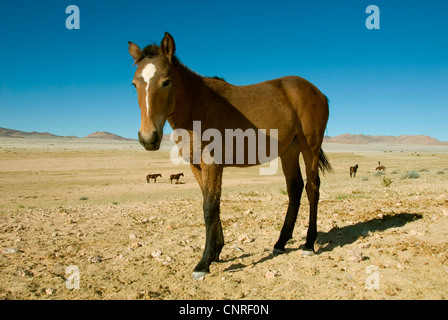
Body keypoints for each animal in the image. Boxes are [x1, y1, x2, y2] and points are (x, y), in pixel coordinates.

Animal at [128, 31, 330, 278]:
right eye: (135, 84)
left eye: (166, 81)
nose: (148, 138)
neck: (196, 107)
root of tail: (317, 92)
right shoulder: (197, 166)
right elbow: (212, 205)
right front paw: (215, 252)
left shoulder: (212, 164)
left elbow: (209, 208)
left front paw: (203, 262)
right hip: (289, 151)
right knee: (295, 188)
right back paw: (280, 243)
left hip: (309, 147)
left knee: (312, 188)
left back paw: (309, 244)